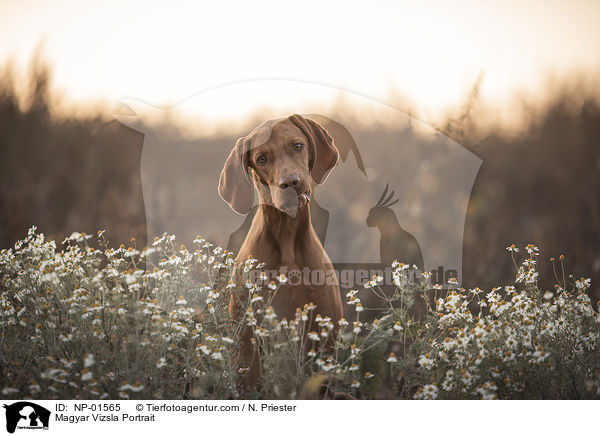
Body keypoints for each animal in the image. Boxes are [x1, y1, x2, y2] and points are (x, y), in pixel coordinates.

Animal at [219, 113, 342, 388]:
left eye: (297, 145)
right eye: (261, 159)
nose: (291, 183)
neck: (287, 239)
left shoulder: (324, 336)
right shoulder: (248, 345)